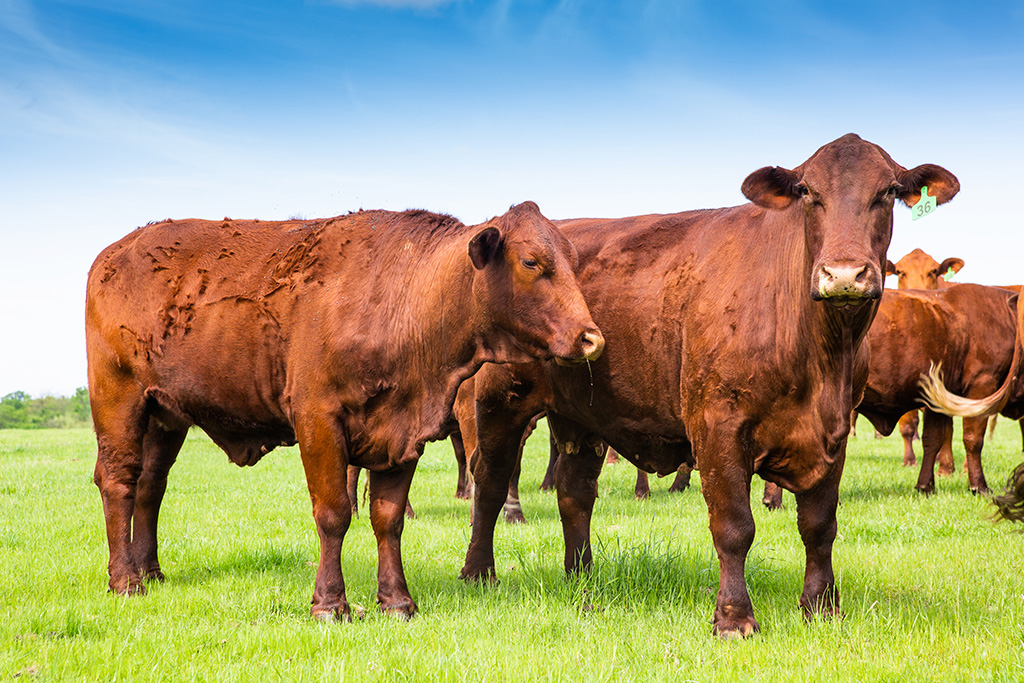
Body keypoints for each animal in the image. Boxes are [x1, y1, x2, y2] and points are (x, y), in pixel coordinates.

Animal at [85, 201, 604, 621]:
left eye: (573, 261)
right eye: (531, 261)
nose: (591, 338)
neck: (407, 296)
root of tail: (114, 253)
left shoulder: (403, 434)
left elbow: (388, 518)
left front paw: (397, 601)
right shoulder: (319, 422)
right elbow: (334, 513)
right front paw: (330, 604)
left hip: (164, 416)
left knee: (151, 486)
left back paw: (151, 571)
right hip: (119, 403)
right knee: (119, 482)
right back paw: (125, 581)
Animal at [459, 134, 959, 637]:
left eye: (887, 192)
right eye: (807, 192)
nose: (843, 275)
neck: (820, 354)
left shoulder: (835, 430)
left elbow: (820, 526)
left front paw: (821, 606)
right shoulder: (717, 426)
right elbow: (734, 526)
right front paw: (734, 617)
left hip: (581, 416)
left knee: (574, 492)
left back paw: (581, 576)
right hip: (501, 404)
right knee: (491, 481)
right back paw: (479, 573)